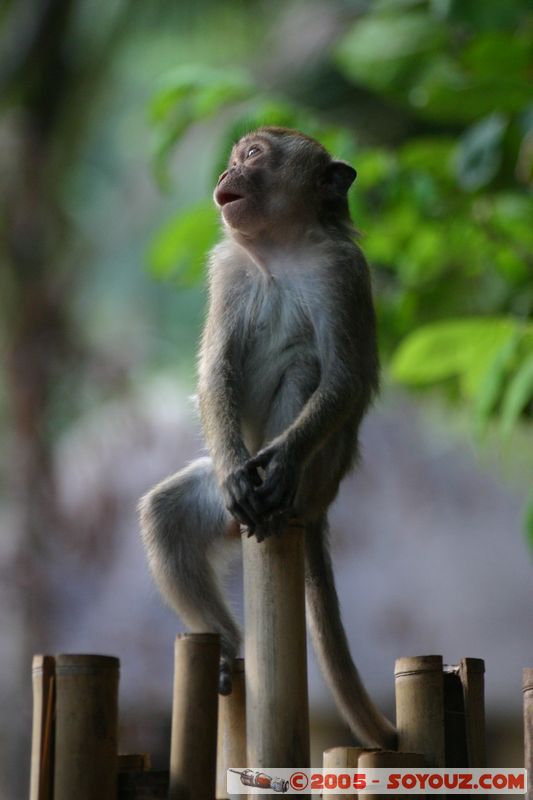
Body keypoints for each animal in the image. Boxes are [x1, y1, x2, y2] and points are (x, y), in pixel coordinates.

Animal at [139, 127, 396, 749]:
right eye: (236, 156)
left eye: (253, 155)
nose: (227, 171)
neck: (279, 248)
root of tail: (321, 506)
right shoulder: (228, 266)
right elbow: (217, 371)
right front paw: (240, 470)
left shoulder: (342, 271)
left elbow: (343, 376)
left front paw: (282, 462)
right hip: (222, 504)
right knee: (167, 516)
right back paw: (228, 649)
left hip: (319, 476)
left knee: (305, 363)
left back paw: (279, 484)